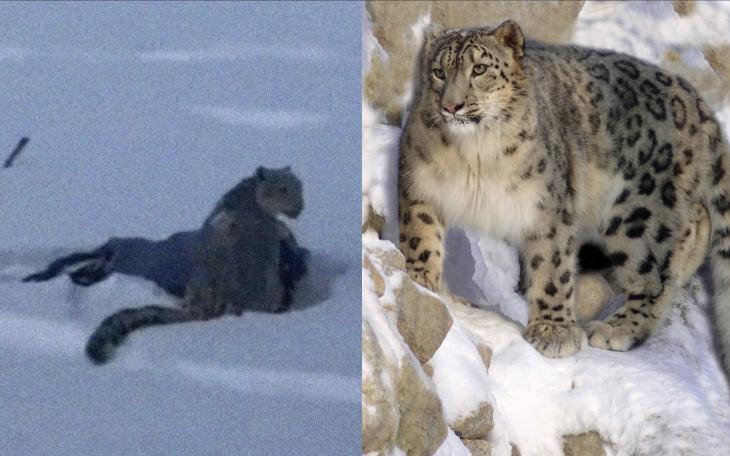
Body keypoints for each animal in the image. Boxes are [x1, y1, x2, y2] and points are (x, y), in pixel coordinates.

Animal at [397, 19, 730, 373]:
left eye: (480, 68)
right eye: (439, 72)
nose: (451, 106)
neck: (474, 155)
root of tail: (699, 106)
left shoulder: (548, 207)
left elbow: (551, 266)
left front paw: (553, 332)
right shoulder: (419, 182)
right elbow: (420, 235)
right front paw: (421, 282)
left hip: (639, 214)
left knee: (655, 274)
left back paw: (617, 329)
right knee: (694, 226)